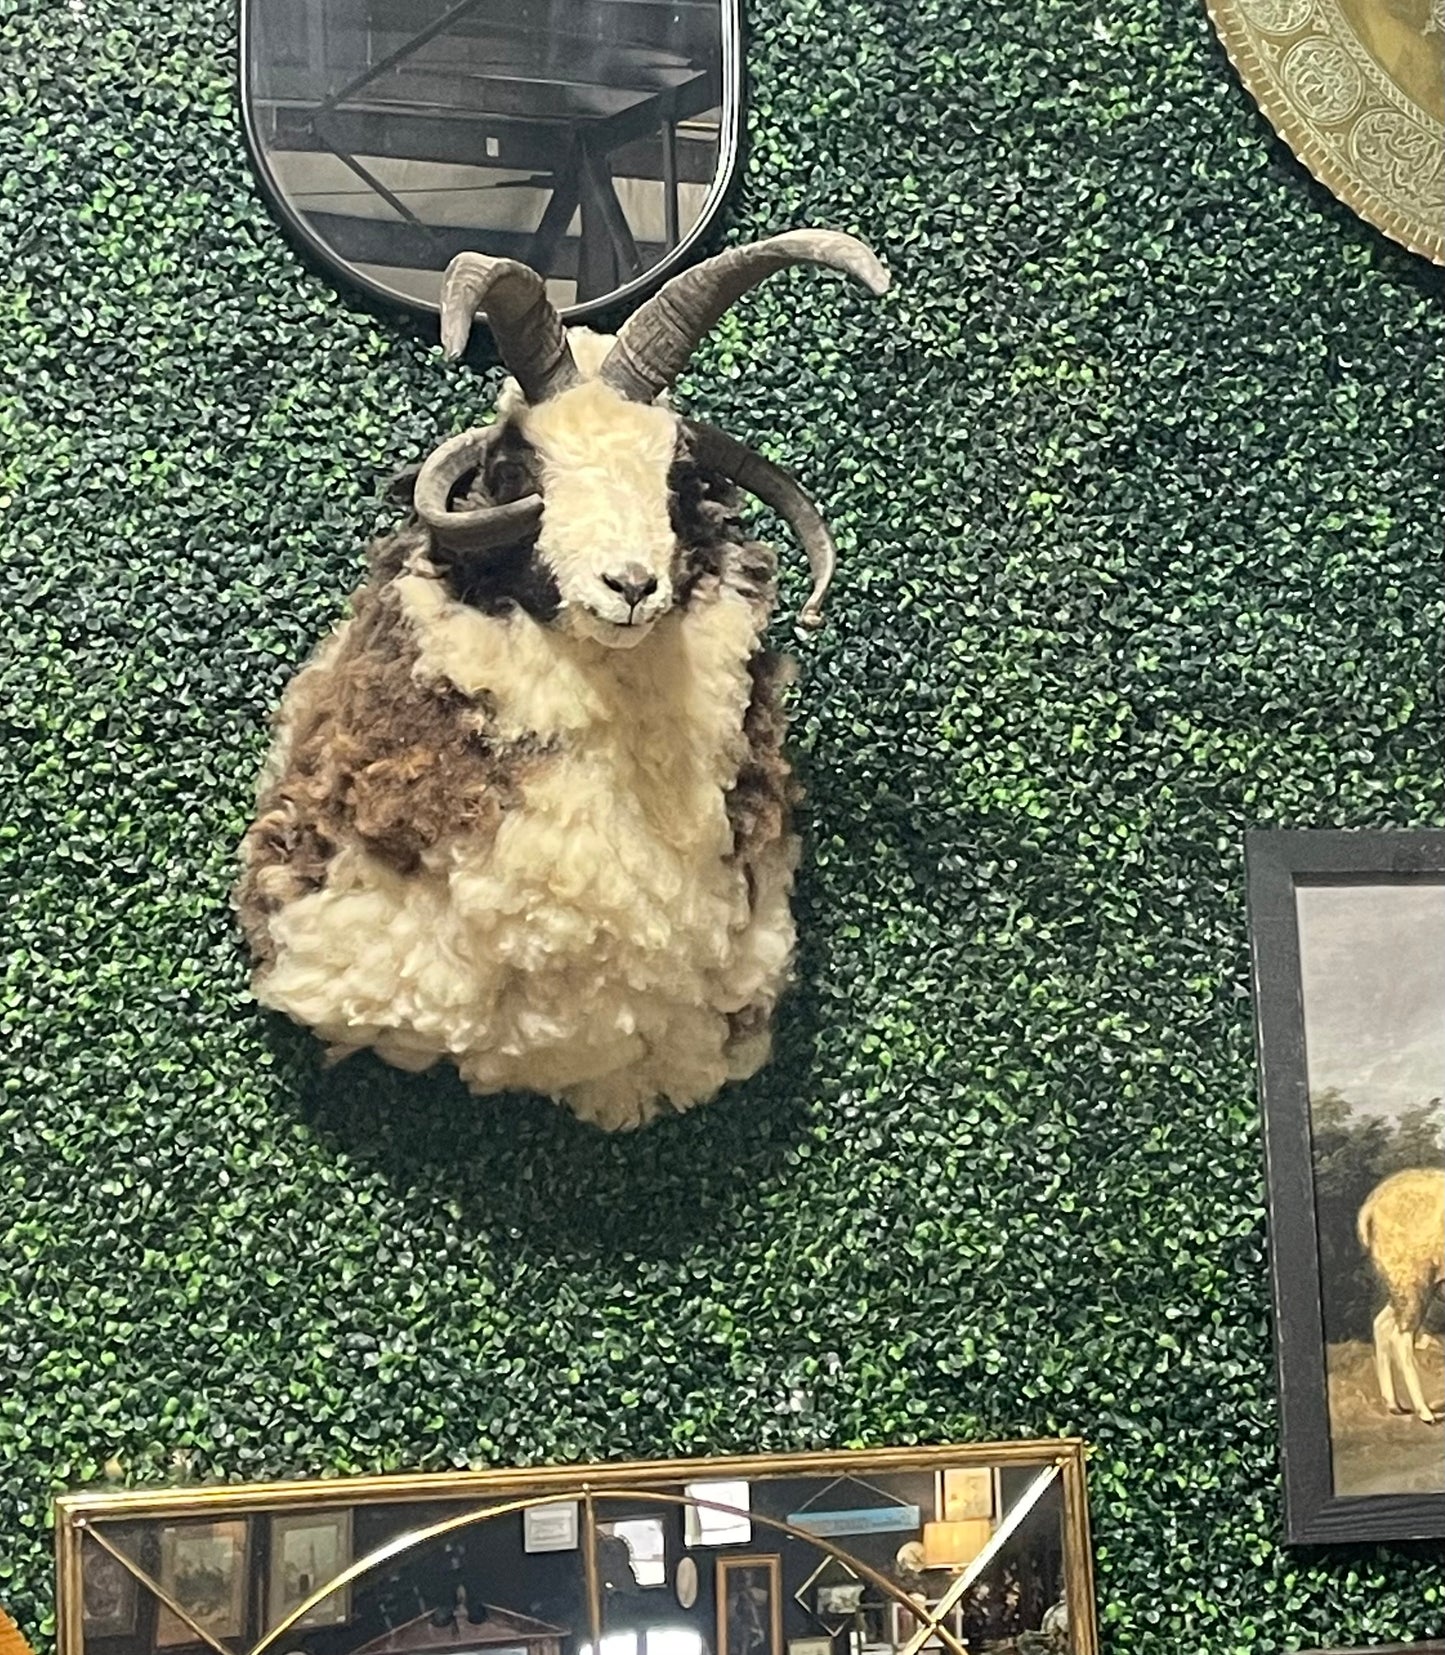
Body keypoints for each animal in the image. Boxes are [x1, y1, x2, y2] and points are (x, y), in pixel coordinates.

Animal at [1357, 1166, 1445, 1424]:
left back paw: (1393, 1404)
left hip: (1405, 1287)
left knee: (1381, 1323)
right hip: (1413, 1282)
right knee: (1401, 1337)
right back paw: (1424, 1412)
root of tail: (1371, 1206)